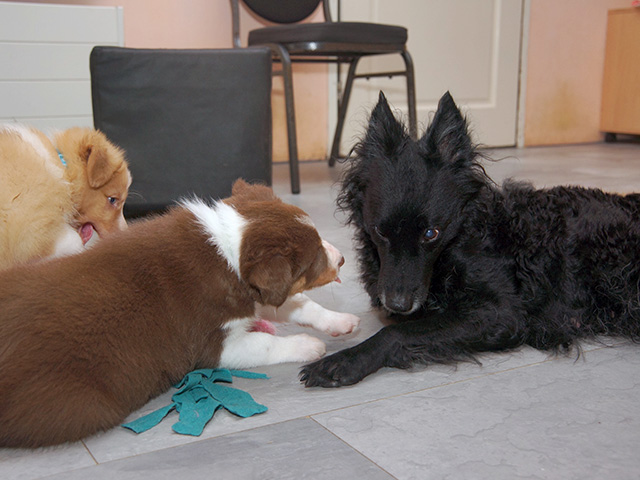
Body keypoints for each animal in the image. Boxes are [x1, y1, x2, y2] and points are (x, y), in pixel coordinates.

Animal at [0, 180, 359, 447]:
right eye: (314, 258)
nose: (342, 259)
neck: (226, 252)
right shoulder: (212, 346)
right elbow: (266, 343)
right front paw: (309, 346)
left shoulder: (259, 295)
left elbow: (301, 304)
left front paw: (341, 322)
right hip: (82, 404)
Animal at [300, 91, 640, 387]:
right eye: (381, 231)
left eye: (431, 233)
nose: (398, 304)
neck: (462, 236)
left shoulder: (502, 314)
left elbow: (400, 333)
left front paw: (346, 361)